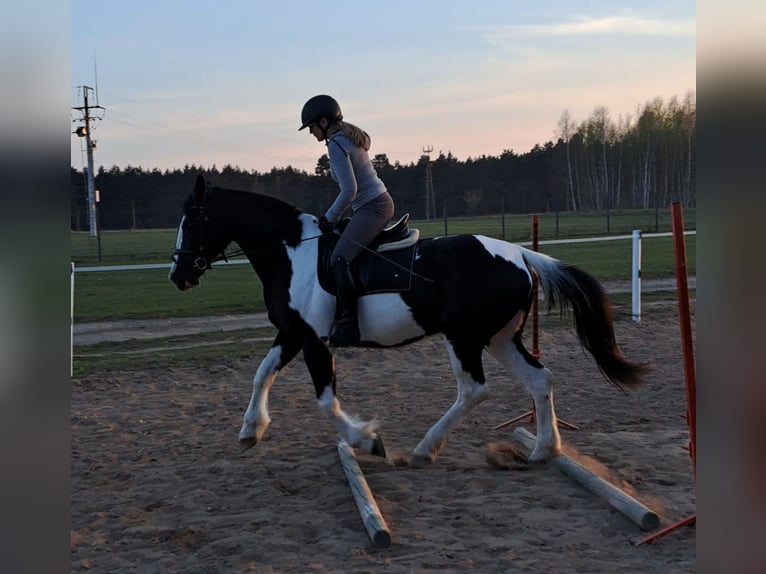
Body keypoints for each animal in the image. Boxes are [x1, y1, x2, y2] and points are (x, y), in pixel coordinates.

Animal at [169, 174, 647, 466]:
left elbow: (325, 400)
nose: (178, 275)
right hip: (498, 338)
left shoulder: (314, 342)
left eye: (191, 220)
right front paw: (251, 429)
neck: (292, 252)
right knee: (540, 379)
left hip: (463, 337)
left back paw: (424, 449)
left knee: (474, 390)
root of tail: (518, 254)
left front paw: (366, 440)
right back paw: (544, 450)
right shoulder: (291, 333)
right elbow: (260, 374)